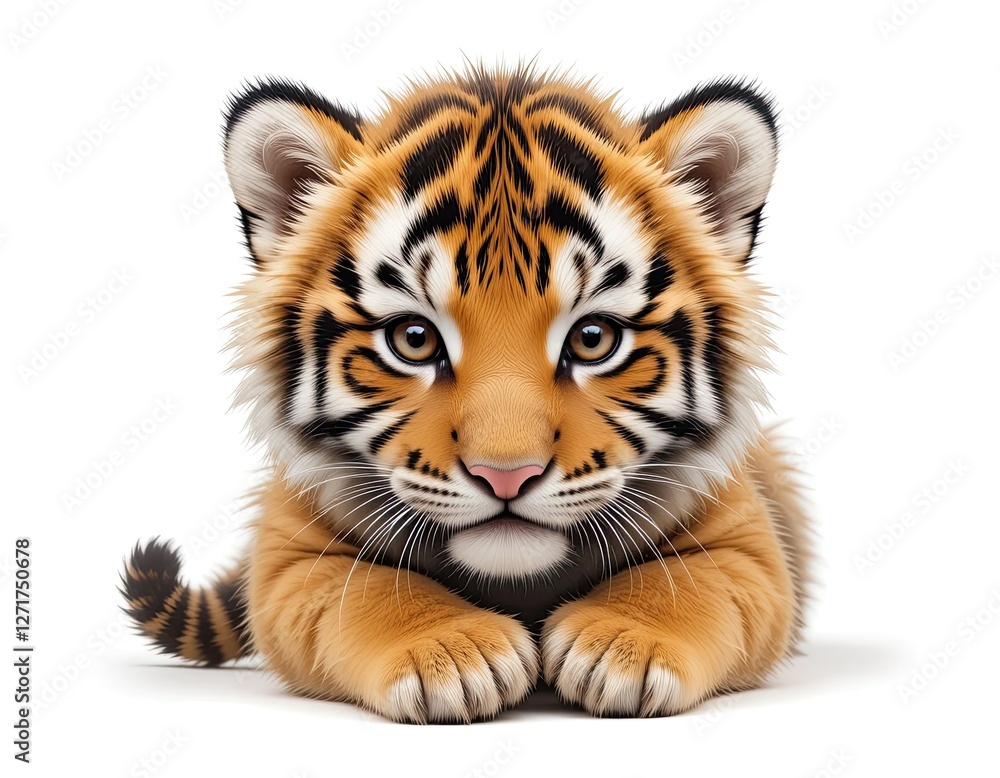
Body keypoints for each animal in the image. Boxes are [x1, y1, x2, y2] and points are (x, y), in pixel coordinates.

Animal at [120, 64, 812, 723]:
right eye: (414, 339)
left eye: (593, 339)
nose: (506, 476)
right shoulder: (290, 558)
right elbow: (363, 591)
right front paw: (453, 657)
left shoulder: (748, 547)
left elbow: (692, 585)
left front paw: (622, 648)